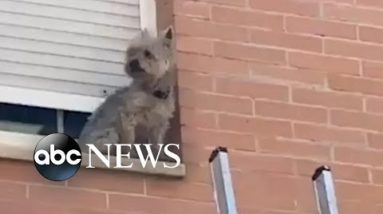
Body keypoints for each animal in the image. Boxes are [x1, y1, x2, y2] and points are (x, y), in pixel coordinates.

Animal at [79, 27, 177, 157]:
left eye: (147, 53)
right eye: (131, 53)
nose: (132, 62)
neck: (152, 91)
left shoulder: (159, 124)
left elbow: (156, 144)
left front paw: (159, 156)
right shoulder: (128, 115)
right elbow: (129, 139)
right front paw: (130, 154)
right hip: (109, 134)